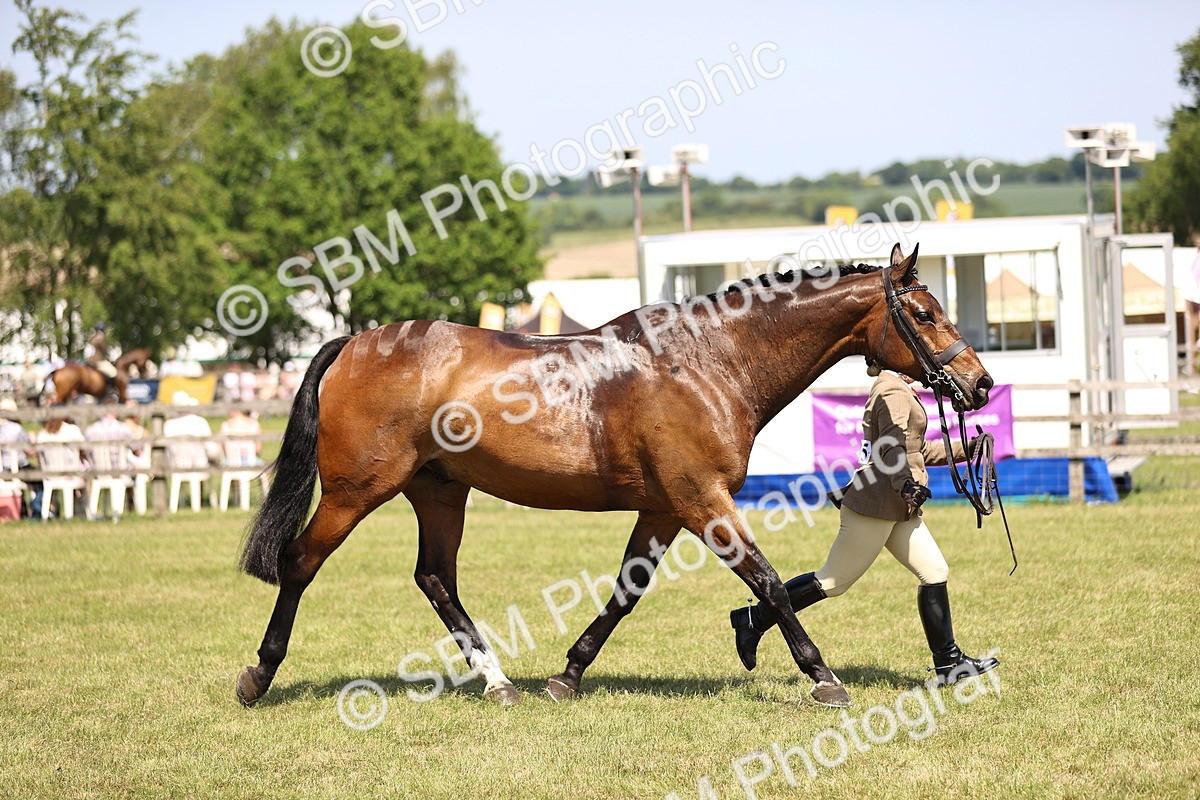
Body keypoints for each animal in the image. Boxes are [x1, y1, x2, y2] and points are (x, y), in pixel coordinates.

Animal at [235, 243, 994, 710]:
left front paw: (568, 675)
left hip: (440, 490)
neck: (708, 360)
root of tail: (355, 342)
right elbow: (771, 582)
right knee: (299, 563)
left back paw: (499, 682)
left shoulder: (664, 509)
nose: (980, 384)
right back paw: (259, 675)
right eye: (924, 313)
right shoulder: (703, 501)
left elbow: (627, 592)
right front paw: (824, 677)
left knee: (435, 578)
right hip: (358, 491)